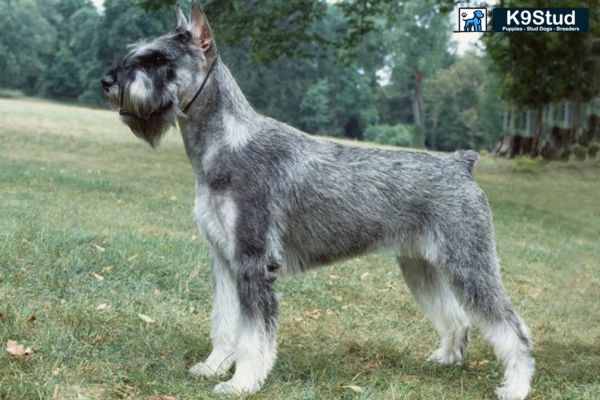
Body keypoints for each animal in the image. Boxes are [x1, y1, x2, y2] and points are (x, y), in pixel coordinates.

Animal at [102, 1, 536, 398]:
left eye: (159, 59)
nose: (108, 80)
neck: (224, 145)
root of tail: (462, 163)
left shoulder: (254, 261)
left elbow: (252, 334)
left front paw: (241, 382)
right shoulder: (225, 260)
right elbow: (225, 321)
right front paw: (214, 366)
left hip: (469, 264)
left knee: (511, 328)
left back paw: (515, 386)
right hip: (420, 266)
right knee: (457, 318)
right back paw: (445, 358)